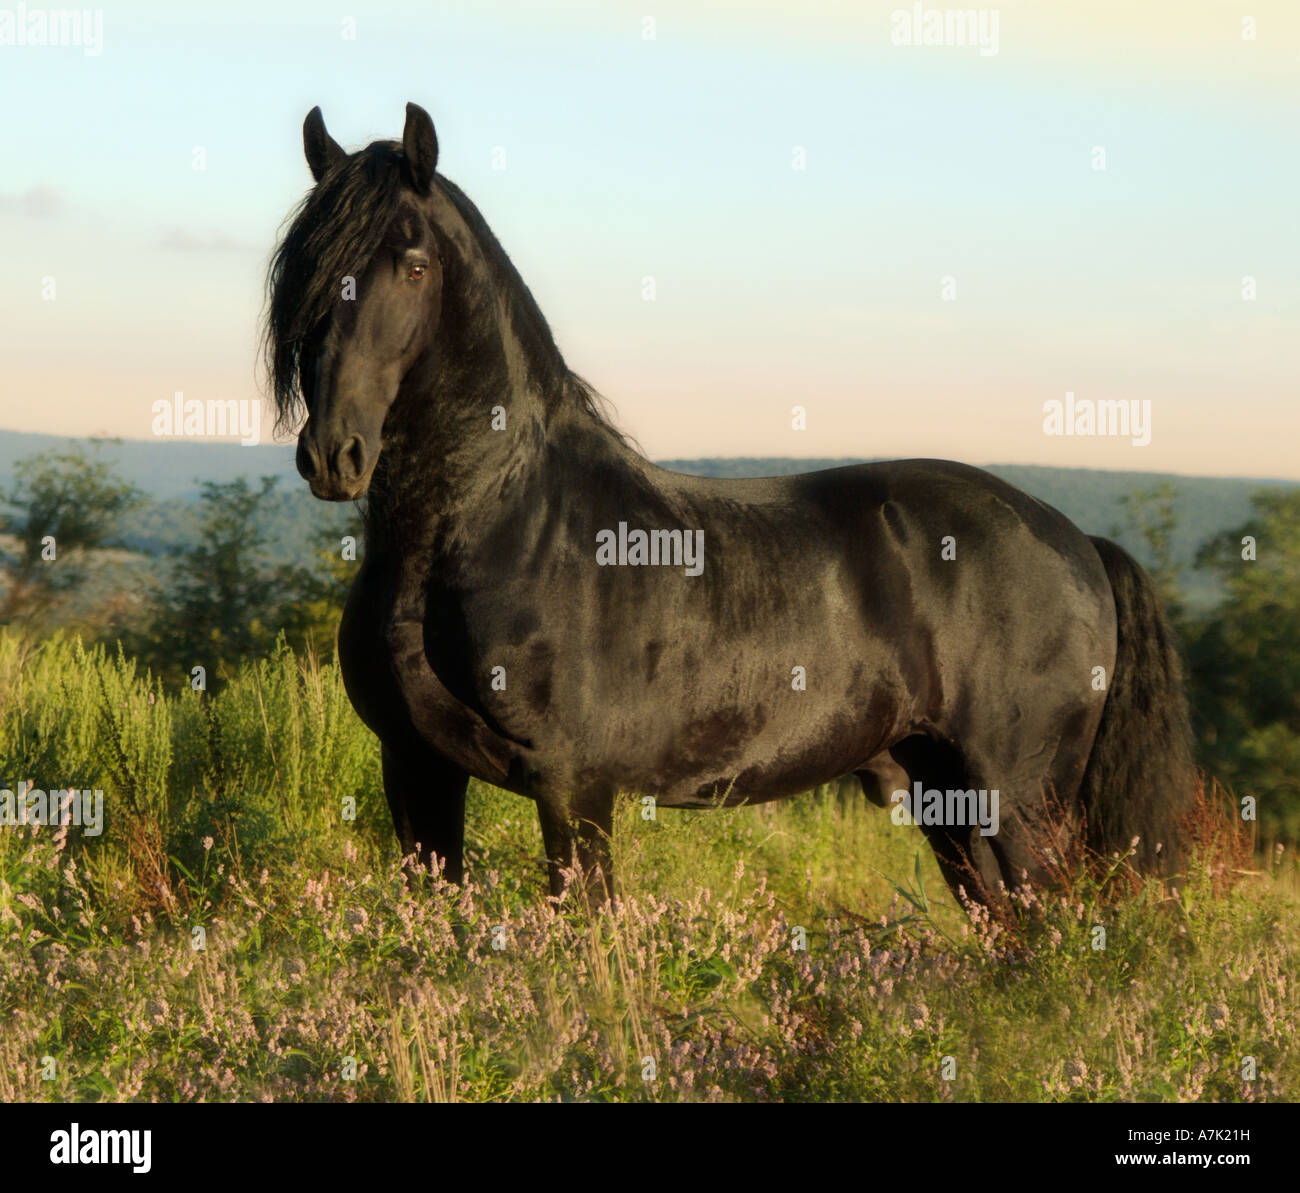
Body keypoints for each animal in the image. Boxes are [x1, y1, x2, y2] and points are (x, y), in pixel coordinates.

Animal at [264, 102, 1196, 908]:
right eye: (306, 269)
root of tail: (1081, 542)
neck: (492, 524)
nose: (334, 454)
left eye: (414, 265)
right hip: (951, 802)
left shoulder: (572, 788)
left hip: (1019, 804)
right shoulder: (417, 770)